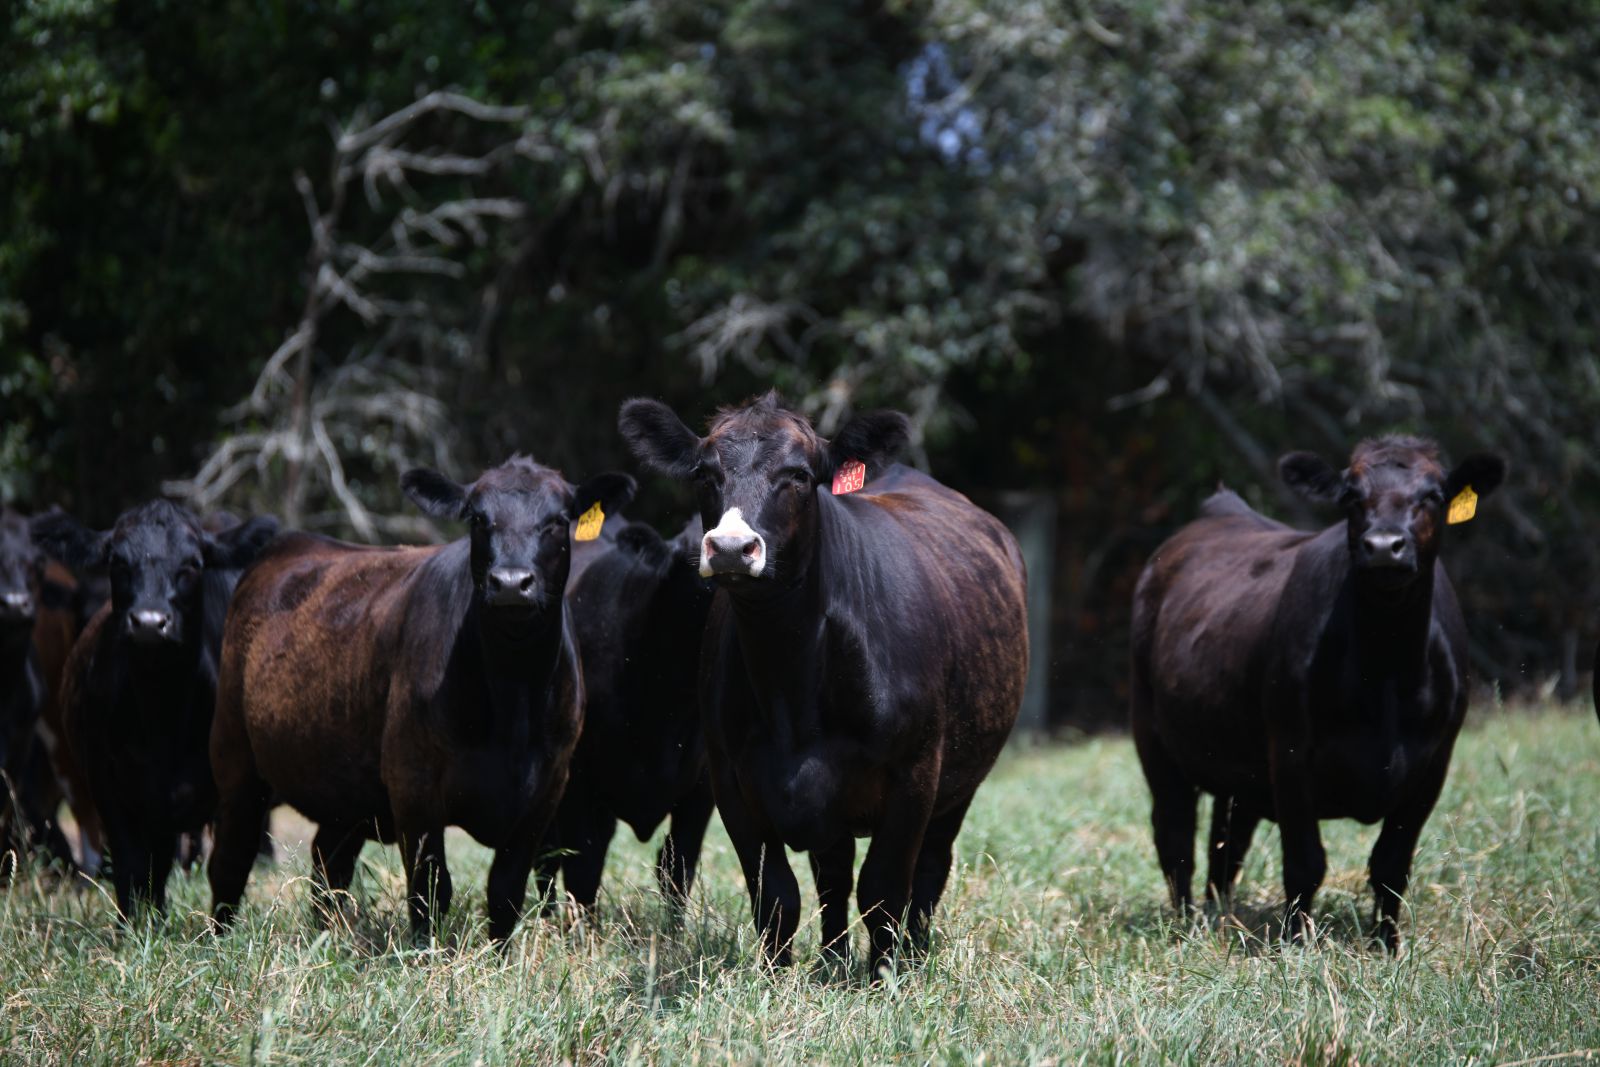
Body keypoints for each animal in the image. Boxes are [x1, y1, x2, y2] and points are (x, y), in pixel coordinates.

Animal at [32, 501, 279, 917]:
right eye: (117, 561)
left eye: (192, 563)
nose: (149, 622)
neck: (163, 713)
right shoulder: (109, 787)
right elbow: (132, 868)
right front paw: (135, 925)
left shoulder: (239, 791)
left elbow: (229, 865)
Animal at [206, 457, 634, 944]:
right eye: (477, 518)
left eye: (559, 520)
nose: (510, 583)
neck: (513, 696)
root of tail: (293, 544)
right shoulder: (414, 783)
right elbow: (431, 887)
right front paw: (426, 952)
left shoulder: (545, 790)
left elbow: (505, 891)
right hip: (235, 759)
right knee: (230, 860)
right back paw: (218, 940)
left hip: (343, 786)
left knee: (328, 865)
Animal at [618, 392, 1029, 976]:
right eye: (704, 474)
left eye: (798, 475)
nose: (731, 547)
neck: (790, 685)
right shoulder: (730, 780)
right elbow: (777, 895)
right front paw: (777, 977)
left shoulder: (915, 774)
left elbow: (884, 891)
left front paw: (885, 978)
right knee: (833, 873)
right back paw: (832, 962)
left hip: (960, 784)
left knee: (929, 870)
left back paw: (912, 955)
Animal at [1129, 435, 1505, 951]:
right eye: (1351, 495)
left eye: (1432, 494)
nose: (1383, 546)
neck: (1386, 674)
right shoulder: (1290, 754)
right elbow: (1306, 862)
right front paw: (1295, 943)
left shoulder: (1433, 764)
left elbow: (1391, 866)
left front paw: (1387, 946)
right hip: (1152, 734)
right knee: (1176, 833)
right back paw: (1187, 922)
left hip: (1238, 764)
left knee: (1226, 844)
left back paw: (1219, 915)